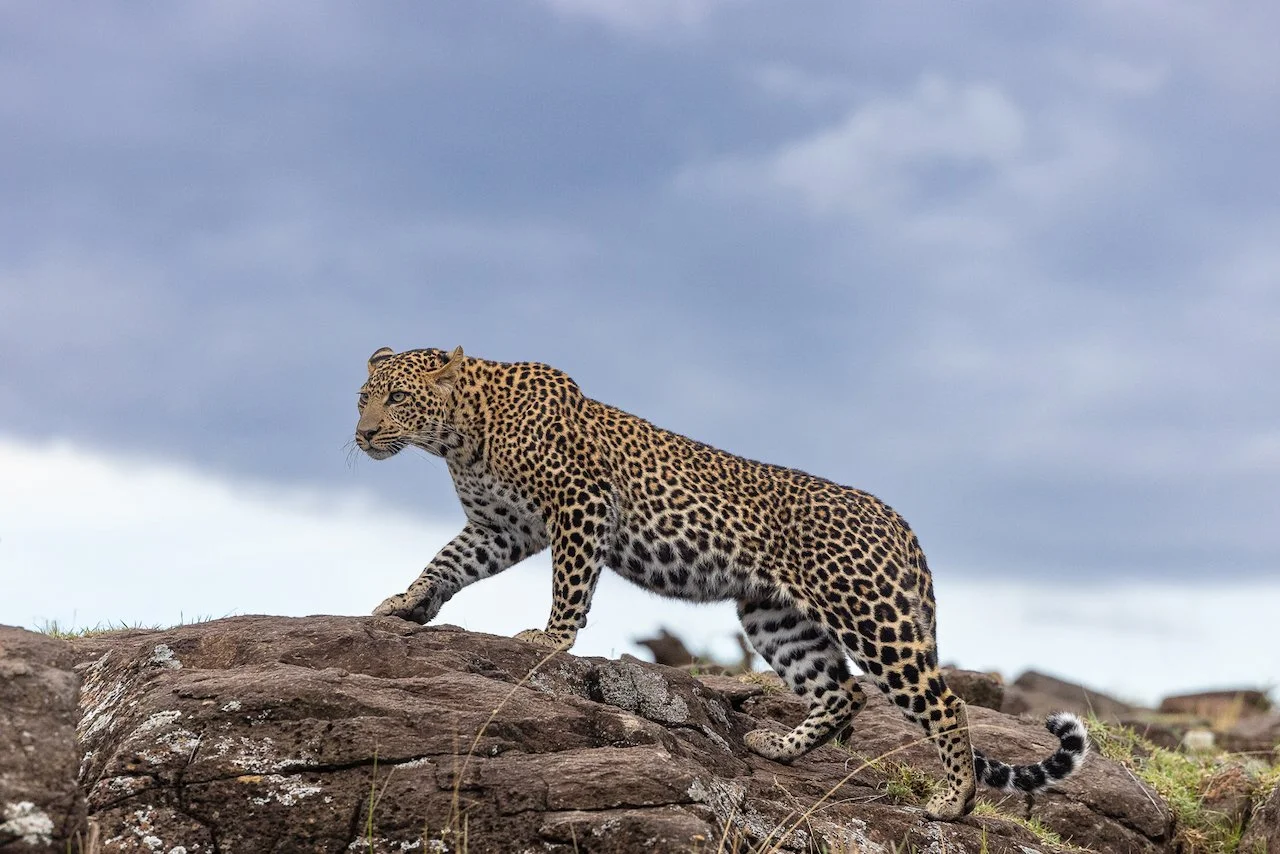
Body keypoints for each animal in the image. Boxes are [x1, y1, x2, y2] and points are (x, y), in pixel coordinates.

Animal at [355, 346, 1088, 821]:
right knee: (842, 691)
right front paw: (405, 604)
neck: (460, 436)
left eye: (397, 397)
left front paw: (550, 639)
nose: (361, 435)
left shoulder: (581, 505)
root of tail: (898, 520)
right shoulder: (501, 528)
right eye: (362, 397)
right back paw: (779, 747)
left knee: (943, 702)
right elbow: (446, 561)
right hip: (773, 614)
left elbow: (570, 583)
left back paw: (952, 801)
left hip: (869, 614)